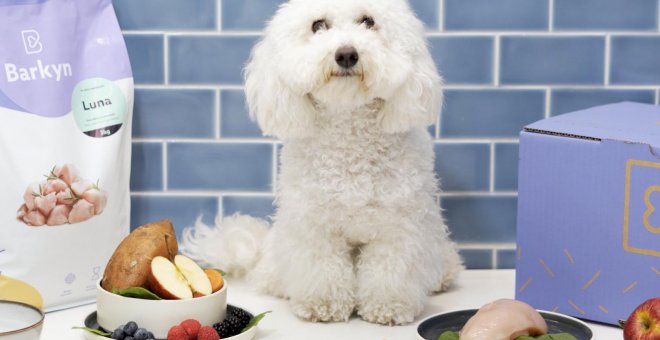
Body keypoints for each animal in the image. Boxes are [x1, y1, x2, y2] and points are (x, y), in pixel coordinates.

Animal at [178, 0, 462, 326]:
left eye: (368, 21)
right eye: (318, 25)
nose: (347, 54)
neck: (350, 135)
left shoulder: (402, 225)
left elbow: (389, 268)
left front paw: (388, 306)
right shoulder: (313, 224)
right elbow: (323, 266)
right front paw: (323, 305)